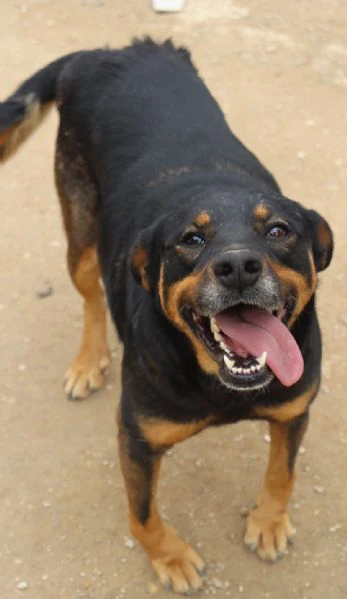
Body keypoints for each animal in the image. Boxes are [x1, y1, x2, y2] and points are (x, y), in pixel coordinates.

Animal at [0, 39, 334, 592]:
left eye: (279, 231)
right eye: (191, 239)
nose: (238, 267)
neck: (221, 383)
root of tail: (104, 51)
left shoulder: (293, 410)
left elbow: (282, 473)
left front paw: (268, 522)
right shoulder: (136, 437)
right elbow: (141, 515)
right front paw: (171, 557)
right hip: (81, 235)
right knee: (91, 297)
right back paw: (88, 361)